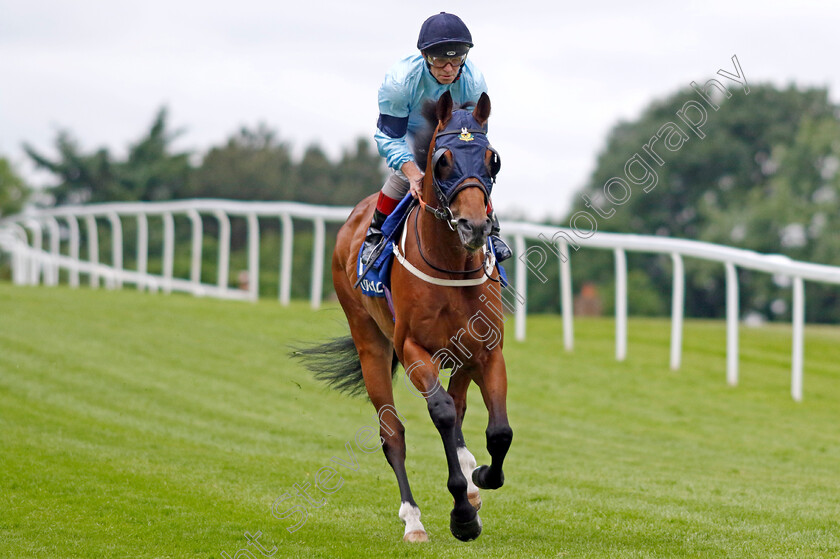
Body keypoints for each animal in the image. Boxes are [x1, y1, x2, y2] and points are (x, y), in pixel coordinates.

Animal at [298, 92, 516, 544]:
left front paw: (481, 477)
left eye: (493, 160)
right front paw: (461, 514)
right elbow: (442, 413)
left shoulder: (487, 349)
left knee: (460, 403)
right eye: (443, 161)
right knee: (393, 433)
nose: (474, 226)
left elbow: (498, 430)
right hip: (370, 344)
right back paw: (414, 519)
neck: (452, 266)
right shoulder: (413, 348)